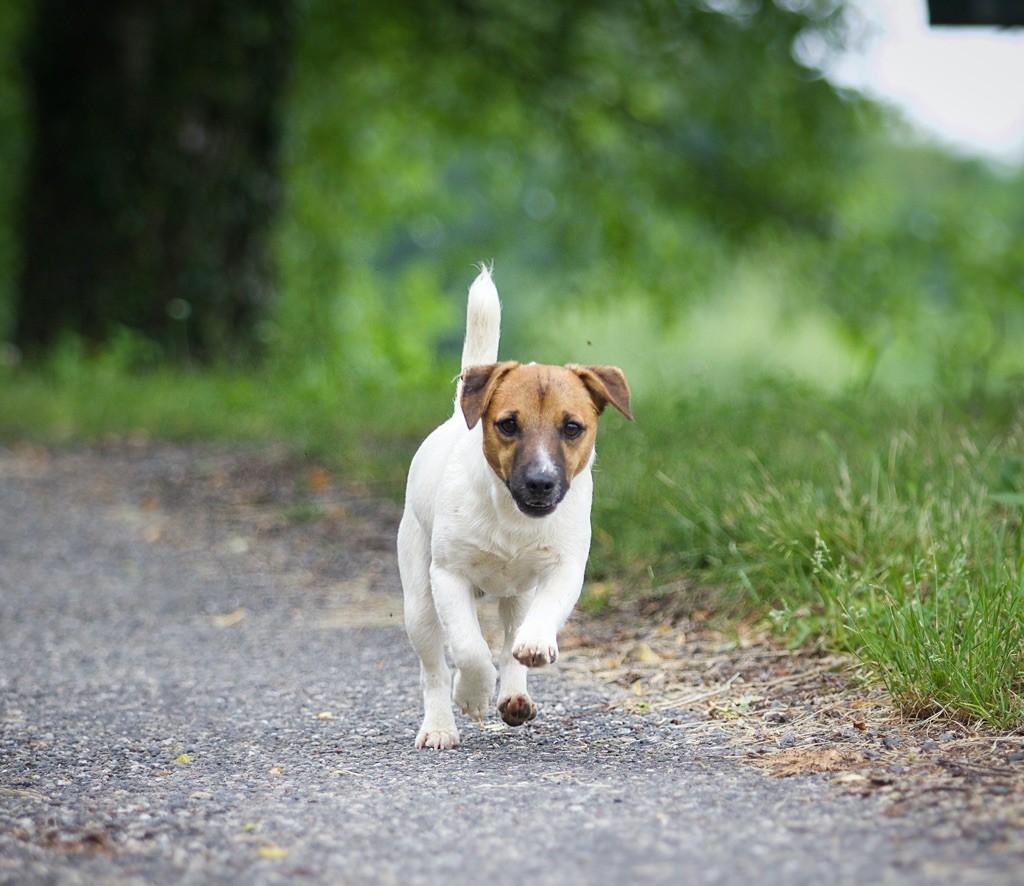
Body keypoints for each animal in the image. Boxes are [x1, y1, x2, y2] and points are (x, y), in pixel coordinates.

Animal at [393, 266, 626, 749]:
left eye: (572, 427)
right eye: (507, 425)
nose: (541, 482)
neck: (513, 519)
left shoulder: (565, 567)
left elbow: (536, 622)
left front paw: (535, 646)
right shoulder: (448, 576)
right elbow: (469, 648)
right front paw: (472, 694)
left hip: (516, 595)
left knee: (510, 640)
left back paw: (515, 696)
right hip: (419, 600)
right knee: (434, 667)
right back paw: (440, 726)